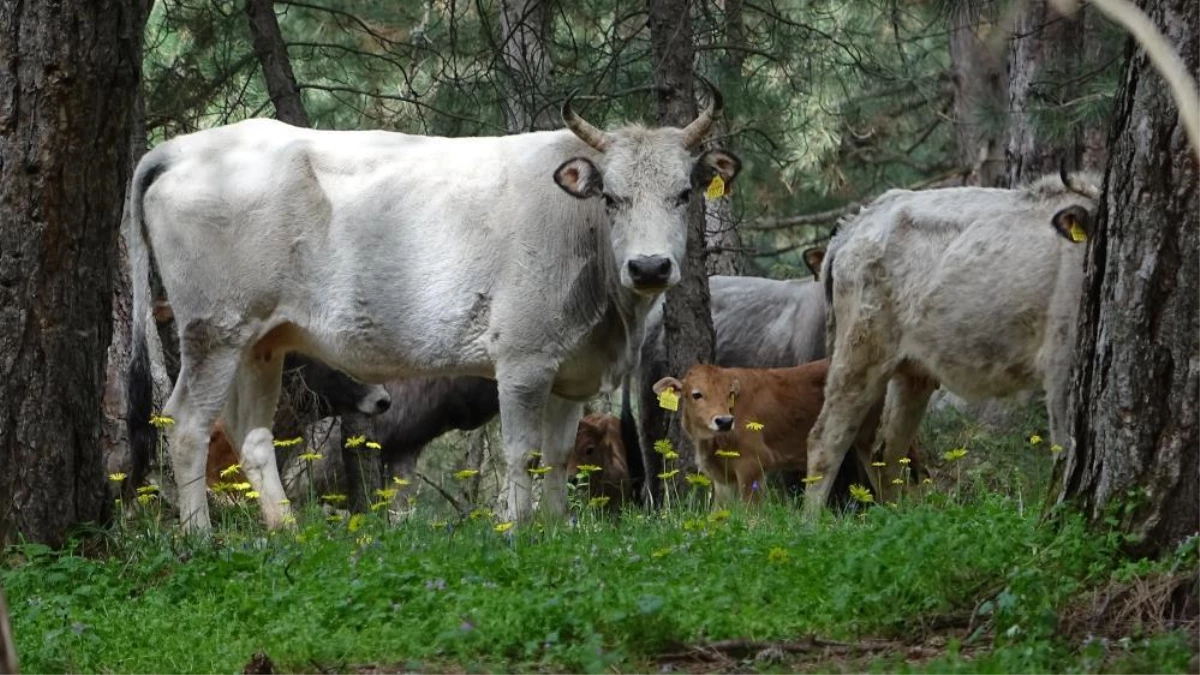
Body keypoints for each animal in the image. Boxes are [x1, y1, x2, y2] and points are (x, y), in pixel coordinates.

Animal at [124, 90, 739, 530]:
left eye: (685, 193)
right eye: (611, 197)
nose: (650, 266)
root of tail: (180, 149)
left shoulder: (571, 371)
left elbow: (560, 455)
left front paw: (556, 528)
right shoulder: (522, 362)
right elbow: (522, 453)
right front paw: (519, 532)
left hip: (261, 343)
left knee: (250, 436)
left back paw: (287, 532)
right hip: (213, 331)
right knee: (187, 426)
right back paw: (200, 537)